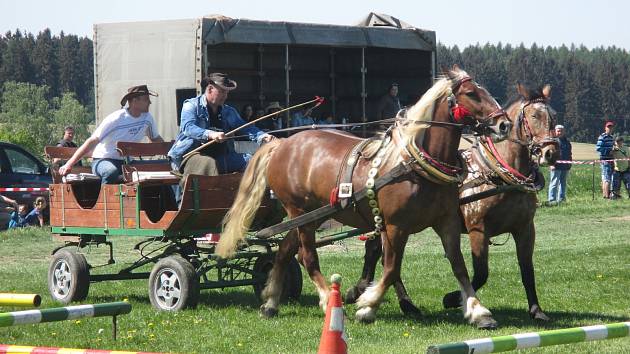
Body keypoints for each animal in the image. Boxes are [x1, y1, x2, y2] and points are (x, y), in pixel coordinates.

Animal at [217, 65, 512, 326]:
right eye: (472, 93)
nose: (504, 124)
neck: (414, 165)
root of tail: (282, 144)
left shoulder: (446, 221)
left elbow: (459, 266)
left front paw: (478, 312)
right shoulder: (394, 226)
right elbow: (391, 268)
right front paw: (367, 306)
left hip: (309, 216)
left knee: (284, 252)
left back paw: (270, 302)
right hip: (299, 212)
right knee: (308, 257)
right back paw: (327, 301)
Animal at [350, 82, 564, 320]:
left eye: (554, 116)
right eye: (534, 115)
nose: (551, 153)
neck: (497, 174)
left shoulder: (525, 228)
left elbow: (527, 270)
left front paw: (536, 310)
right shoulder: (477, 228)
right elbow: (481, 273)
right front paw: (453, 299)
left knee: (376, 251)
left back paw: (363, 291)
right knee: (384, 256)